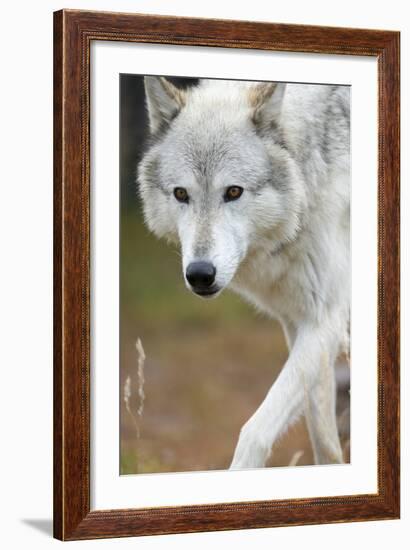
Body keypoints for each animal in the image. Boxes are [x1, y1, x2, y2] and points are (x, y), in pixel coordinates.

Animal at [137, 76, 350, 470]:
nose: (200, 274)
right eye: (181, 194)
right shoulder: (301, 322)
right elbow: (324, 440)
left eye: (233, 191)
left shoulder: (327, 320)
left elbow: (255, 431)